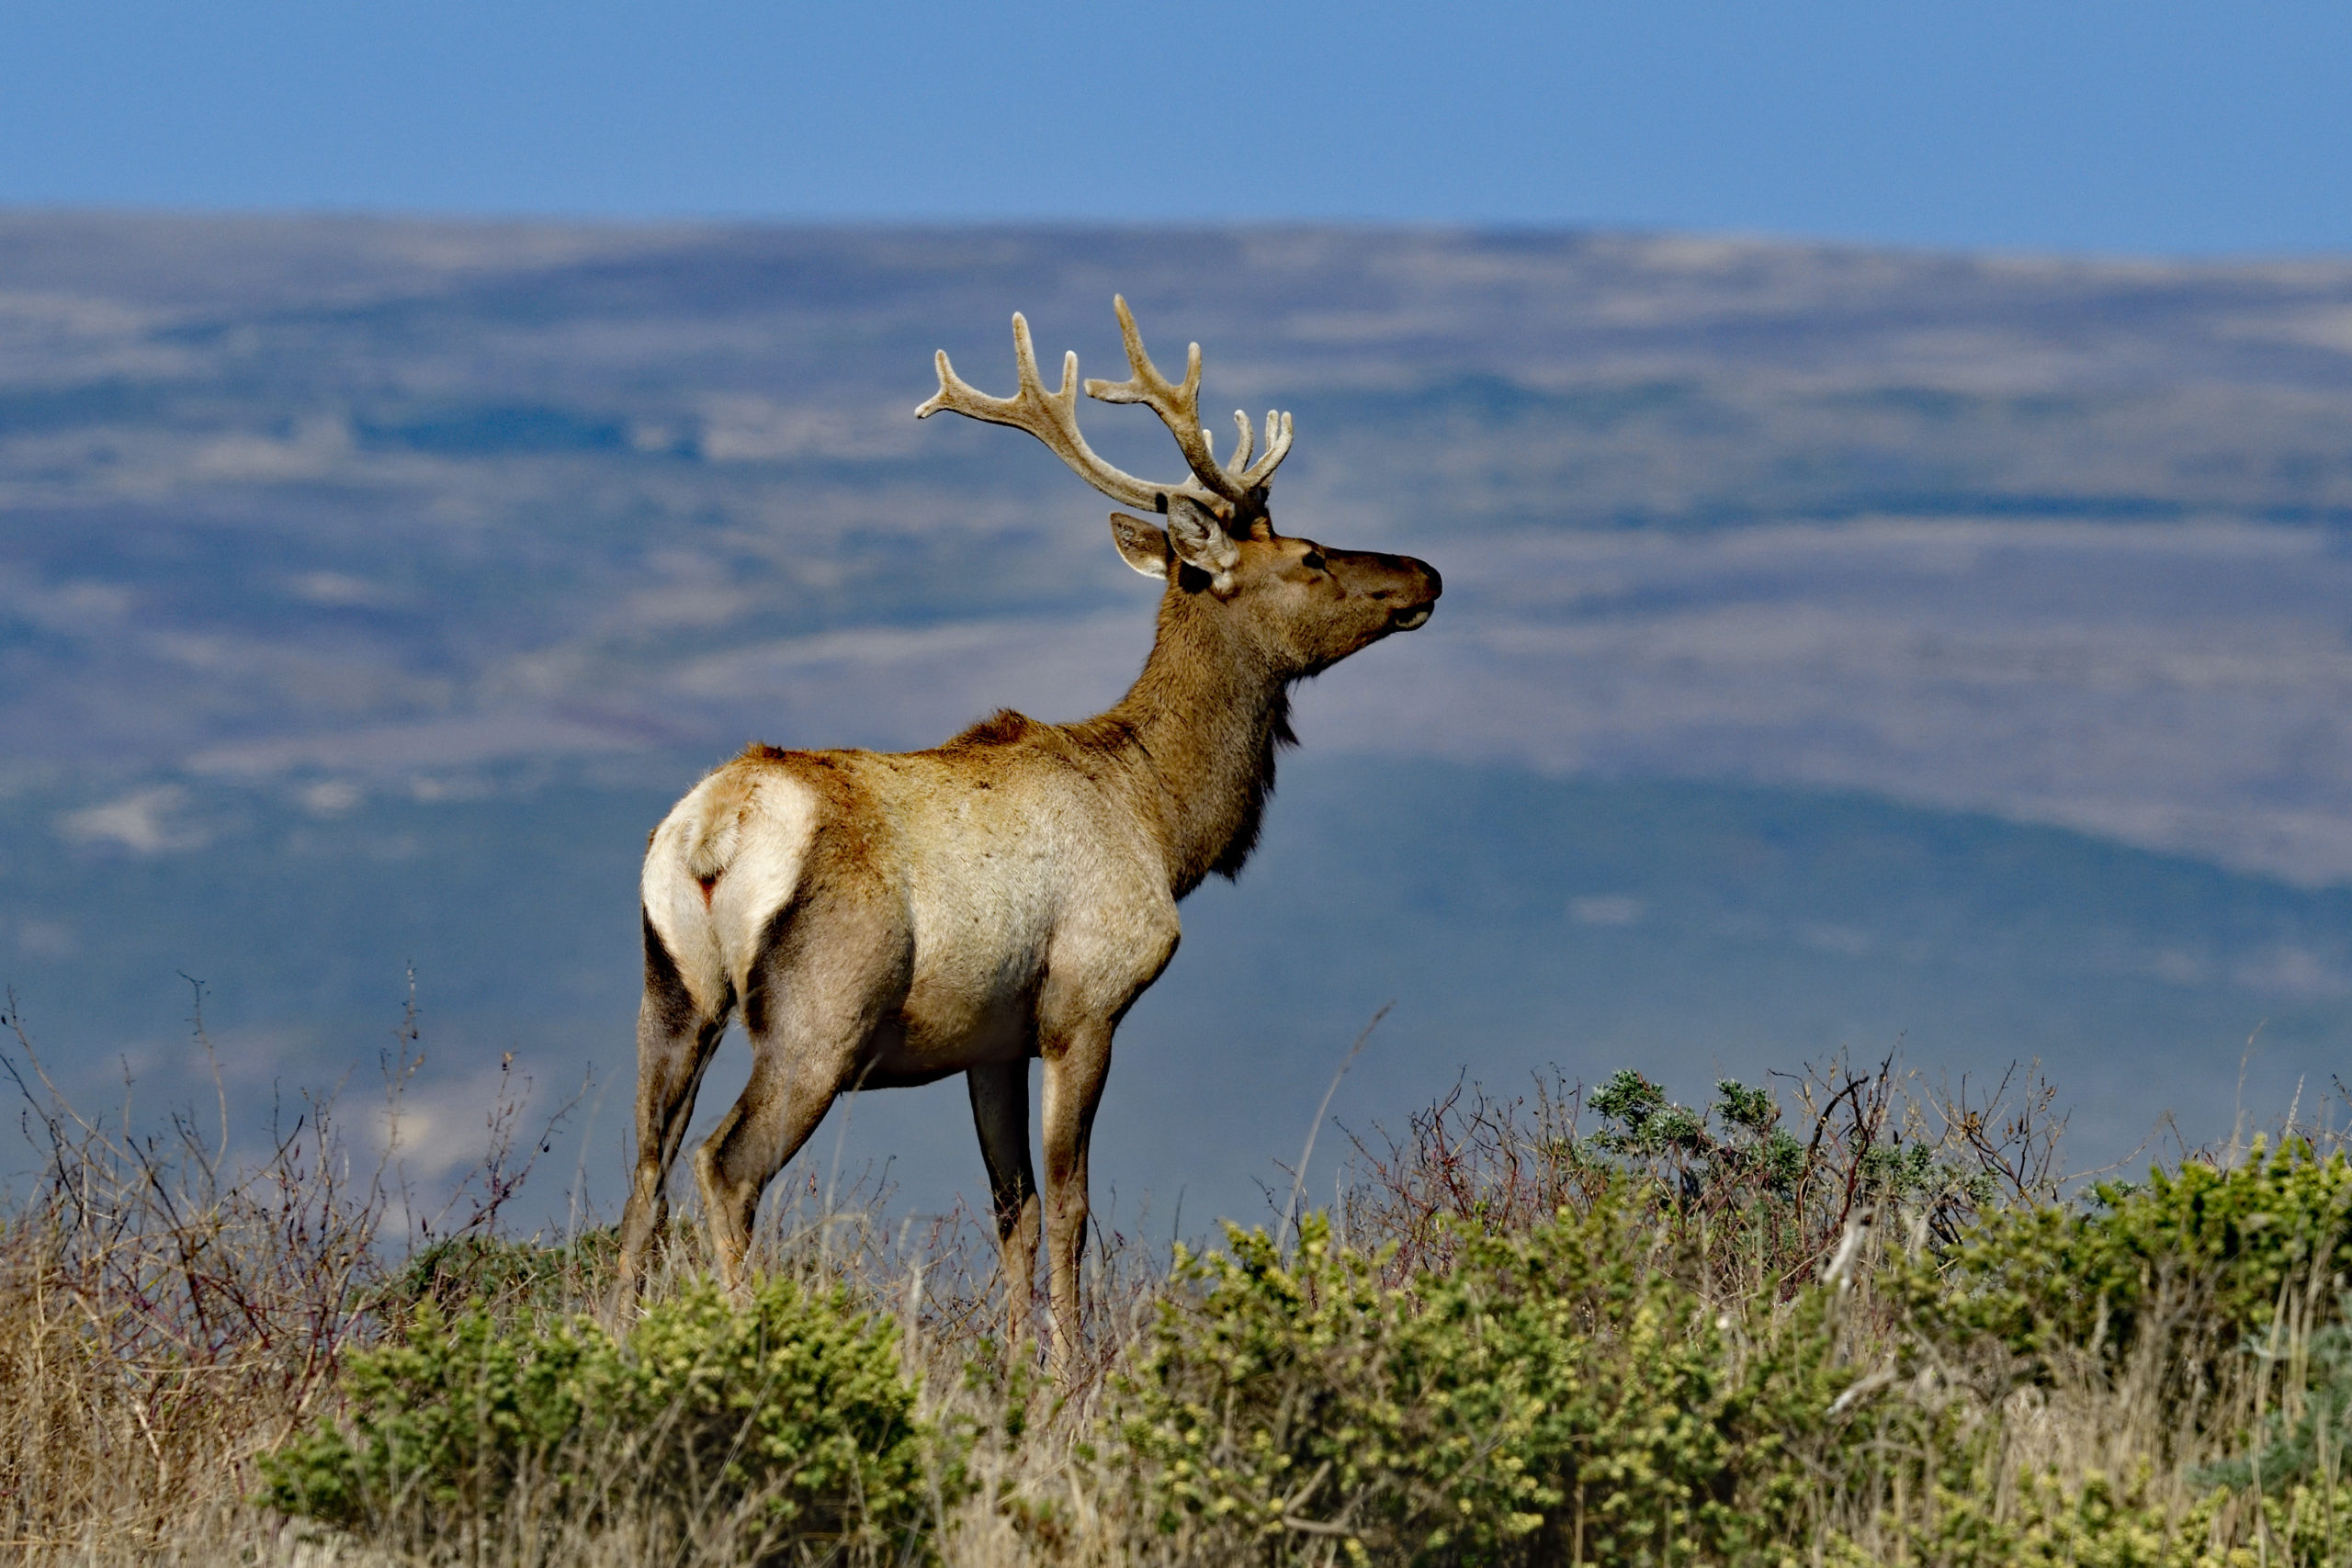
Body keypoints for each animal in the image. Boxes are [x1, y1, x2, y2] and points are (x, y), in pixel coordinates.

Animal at [612, 297, 1441, 1366]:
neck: (1163, 822)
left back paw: (613, 1340)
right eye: (1310, 556)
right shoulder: (1084, 1001)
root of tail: (714, 829)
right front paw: (1073, 1370)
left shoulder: (989, 1041)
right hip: (819, 1014)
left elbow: (1012, 1207)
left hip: (671, 991)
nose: (1427, 573)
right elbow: (1072, 1205)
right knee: (725, 1166)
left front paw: (1017, 1362)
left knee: (644, 1174)